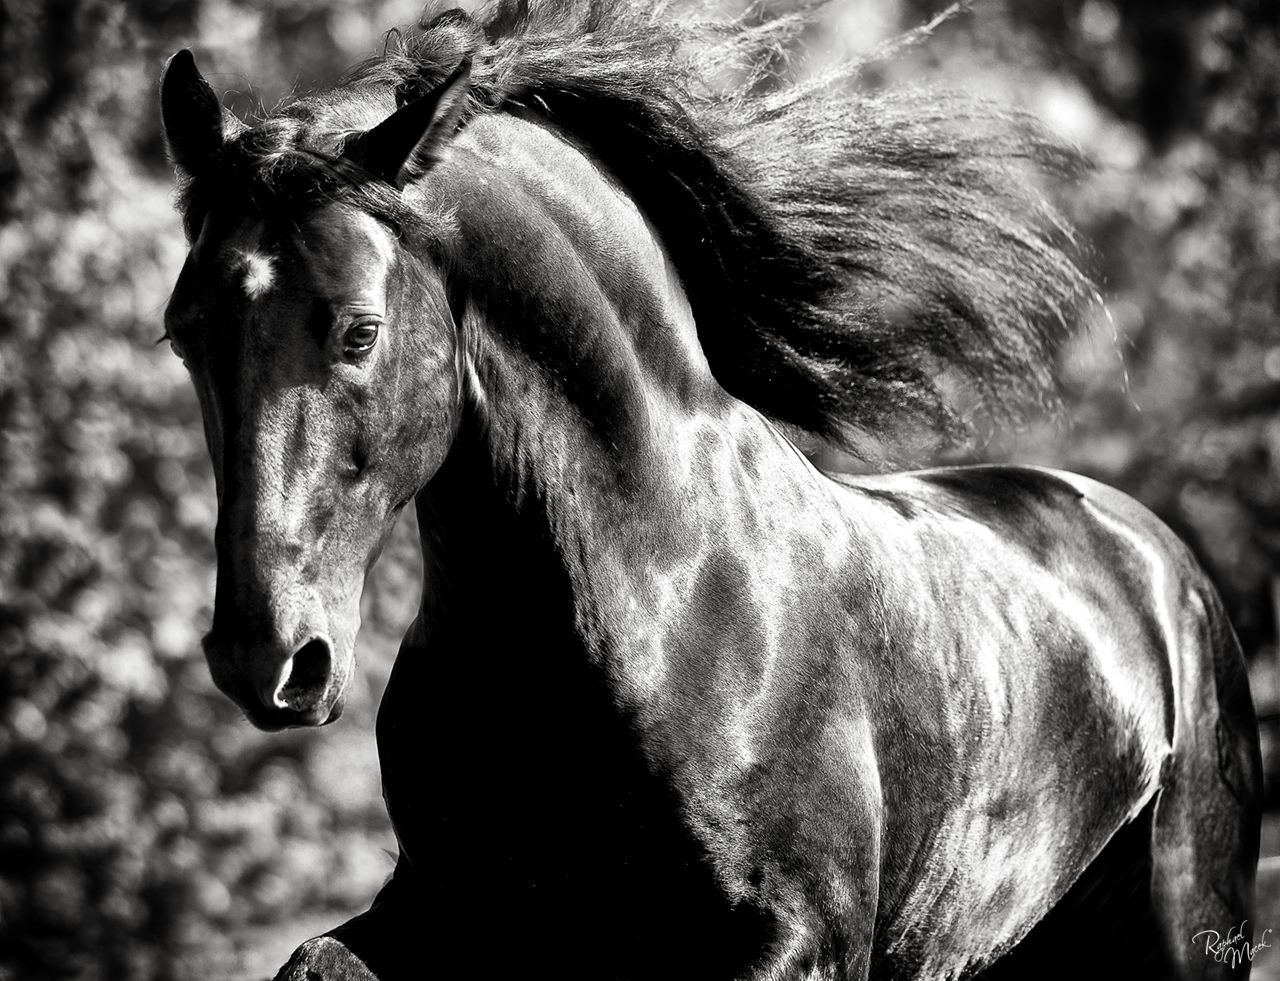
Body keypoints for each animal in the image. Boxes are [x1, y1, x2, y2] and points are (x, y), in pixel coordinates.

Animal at [152, 3, 1259, 978]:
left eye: (359, 330)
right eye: (182, 330)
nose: (266, 658)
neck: (660, 603)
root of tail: (1155, 557)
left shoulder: (797, 941)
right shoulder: (449, 919)